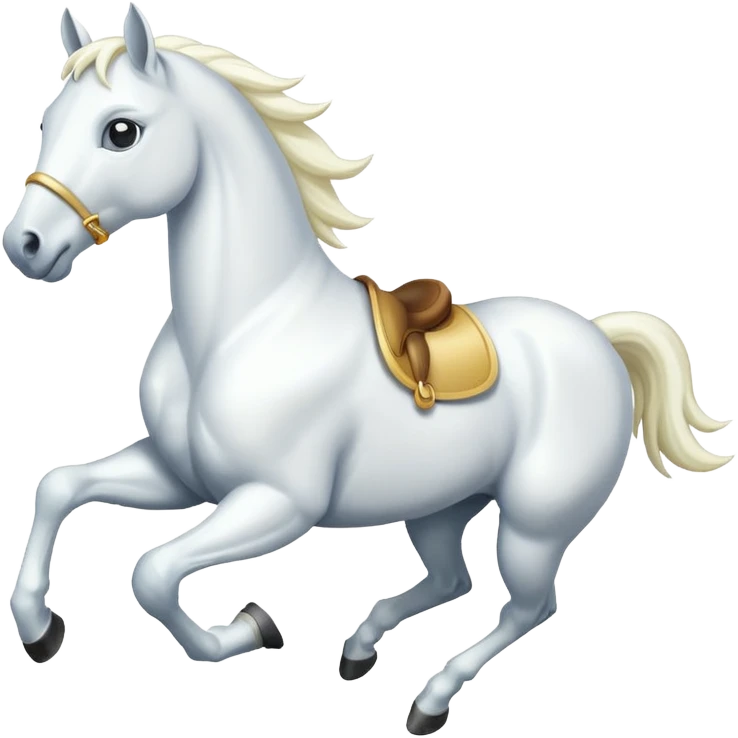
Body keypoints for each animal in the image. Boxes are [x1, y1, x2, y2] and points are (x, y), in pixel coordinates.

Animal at [4, 5, 734, 735]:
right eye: (48, 120)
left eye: (121, 131)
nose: (25, 245)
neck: (248, 325)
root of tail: (599, 337)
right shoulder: (179, 475)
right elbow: (59, 488)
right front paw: (40, 629)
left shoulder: (277, 503)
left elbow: (151, 573)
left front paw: (252, 629)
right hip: (439, 504)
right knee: (453, 579)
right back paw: (359, 649)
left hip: (534, 525)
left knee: (527, 607)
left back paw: (430, 700)